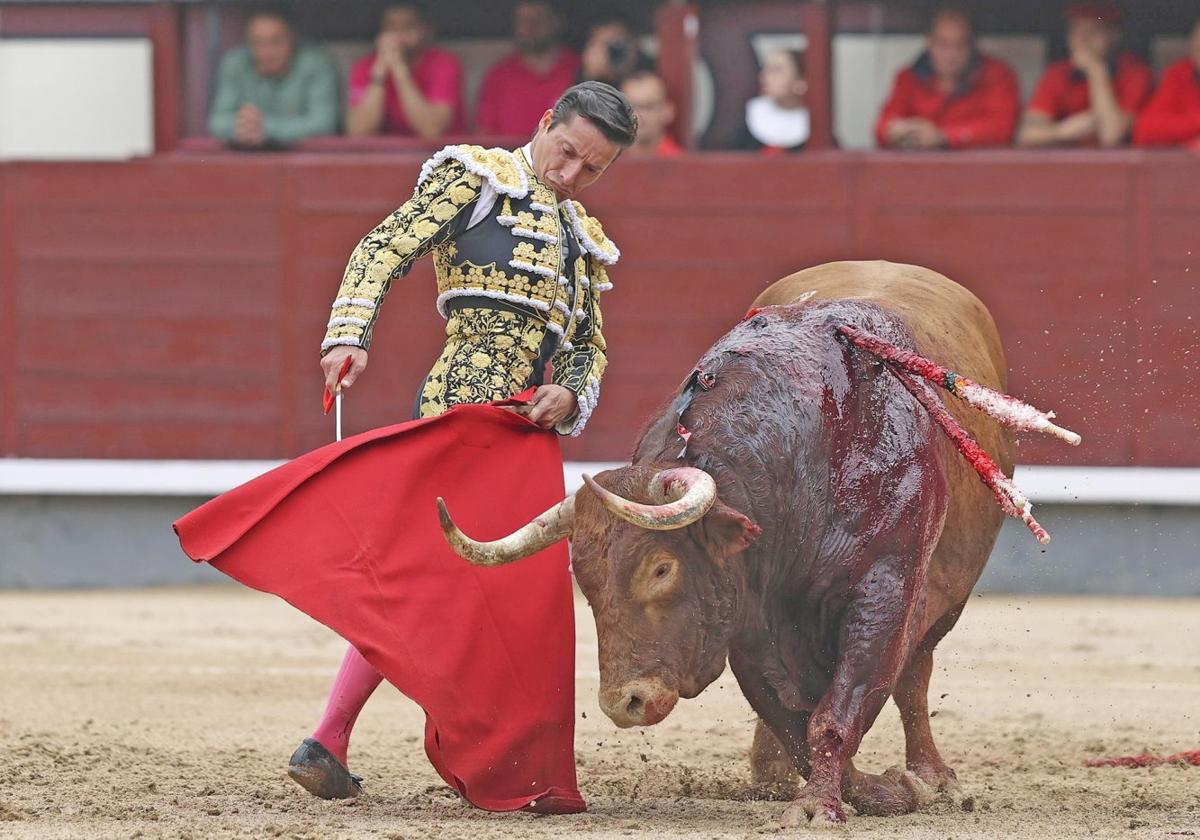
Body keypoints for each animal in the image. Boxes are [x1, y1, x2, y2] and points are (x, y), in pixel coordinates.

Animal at [436, 262, 1075, 825]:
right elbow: (790, 716)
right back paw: (772, 775)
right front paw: (862, 790)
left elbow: (843, 706)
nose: (624, 704)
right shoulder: (744, 614)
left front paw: (836, 803)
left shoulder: (886, 592)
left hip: (946, 596)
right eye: (585, 581)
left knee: (914, 680)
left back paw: (933, 777)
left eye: (662, 569)